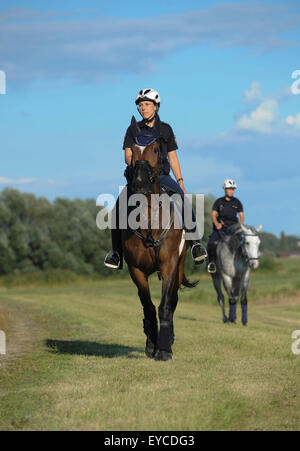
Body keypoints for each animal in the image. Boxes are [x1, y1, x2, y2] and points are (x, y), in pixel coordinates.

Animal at [121, 143, 197, 362]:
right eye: (132, 149)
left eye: (155, 149)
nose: (140, 184)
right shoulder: (136, 270)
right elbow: (148, 307)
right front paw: (151, 345)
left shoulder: (169, 265)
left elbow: (164, 305)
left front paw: (163, 349)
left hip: (178, 269)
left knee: (173, 301)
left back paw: (169, 338)